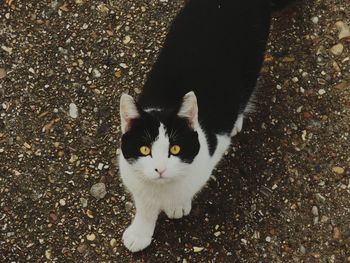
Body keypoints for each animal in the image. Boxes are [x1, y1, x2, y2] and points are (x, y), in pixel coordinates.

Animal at [119, 0, 292, 254]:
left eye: (175, 149)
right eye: (144, 150)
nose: (160, 169)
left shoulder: (214, 149)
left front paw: (177, 205)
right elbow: (144, 205)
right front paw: (140, 233)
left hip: (252, 59)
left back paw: (237, 120)